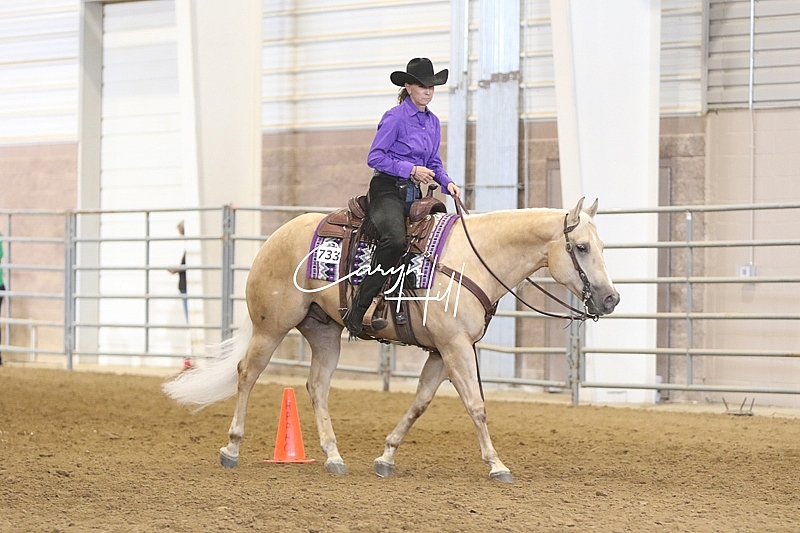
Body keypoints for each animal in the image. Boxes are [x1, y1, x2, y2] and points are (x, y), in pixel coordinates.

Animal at [162, 197, 619, 483]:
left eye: (601, 245)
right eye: (581, 247)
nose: (611, 298)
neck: (475, 259)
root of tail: (275, 237)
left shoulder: (442, 351)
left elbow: (419, 403)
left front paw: (386, 456)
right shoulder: (455, 347)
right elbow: (476, 406)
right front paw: (496, 465)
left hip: (324, 332)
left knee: (316, 386)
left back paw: (334, 457)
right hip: (271, 327)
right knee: (247, 374)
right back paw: (232, 449)